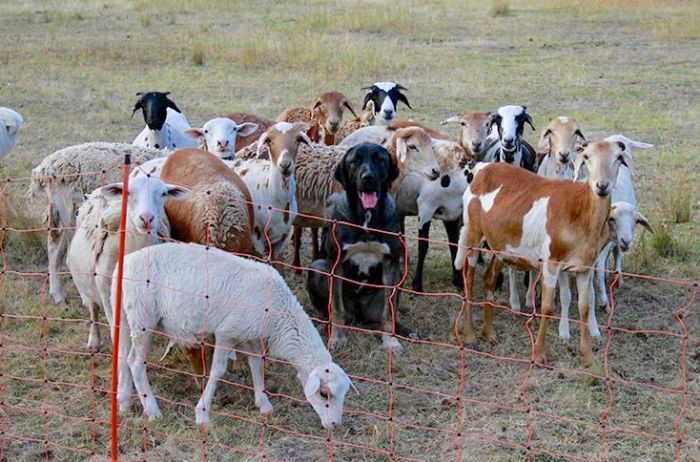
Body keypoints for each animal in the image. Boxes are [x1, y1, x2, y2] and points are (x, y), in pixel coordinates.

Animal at [28, 143, 165, 304]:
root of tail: (47, 165)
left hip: (65, 213)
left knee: (55, 251)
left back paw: (58, 294)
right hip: (69, 210)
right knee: (68, 256)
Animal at [117, 242, 356, 430]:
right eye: (324, 394)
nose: (335, 425)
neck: (279, 316)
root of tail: (127, 261)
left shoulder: (252, 335)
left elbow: (256, 364)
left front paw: (263, 403)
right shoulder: (227, 332)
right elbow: (218, 371)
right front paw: (202, 414)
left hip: (131, 318)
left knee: (125, 357)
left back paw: (125, 402)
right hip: (144, 317)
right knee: (136, 363)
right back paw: (152, 410)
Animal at [454, 139, 636, 366]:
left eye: (618, 158)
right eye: (587, 157)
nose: (601, 186)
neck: (580, 212)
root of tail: (481, 170)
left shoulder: (584, 267)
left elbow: (585, 308)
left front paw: (587, 356)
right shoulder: (551, 263)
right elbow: (547, 307)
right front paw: (539, 354)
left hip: (500, 244)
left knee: (488, 280)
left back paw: (489, 333)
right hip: (472, 234)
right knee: (469, 279)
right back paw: (470, 334)